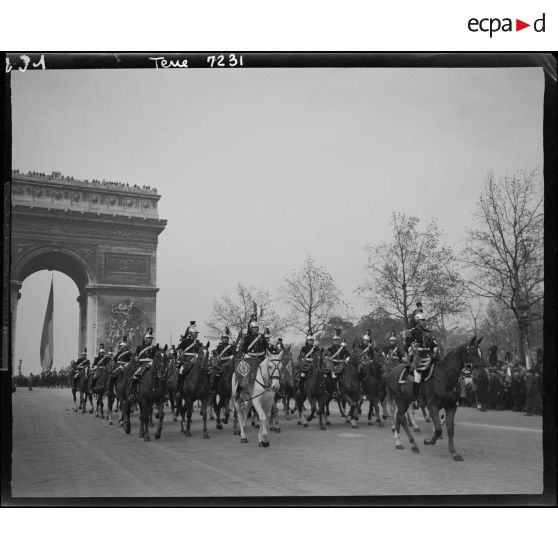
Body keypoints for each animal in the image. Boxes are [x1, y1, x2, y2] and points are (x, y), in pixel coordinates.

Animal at [390, 334, 486, 462]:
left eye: (481, 353)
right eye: (473, 352)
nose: (481, 375)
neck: (445, 377)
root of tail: (392, 370)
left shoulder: (451, 407)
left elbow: (450, 429)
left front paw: (454, 452)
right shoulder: (432, 406)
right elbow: (439, 429)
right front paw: (429, 440)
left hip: (405, 401)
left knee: (399, 416)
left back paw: (401, 442)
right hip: (401, 400)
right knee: (401, 416)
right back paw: (411, 443)